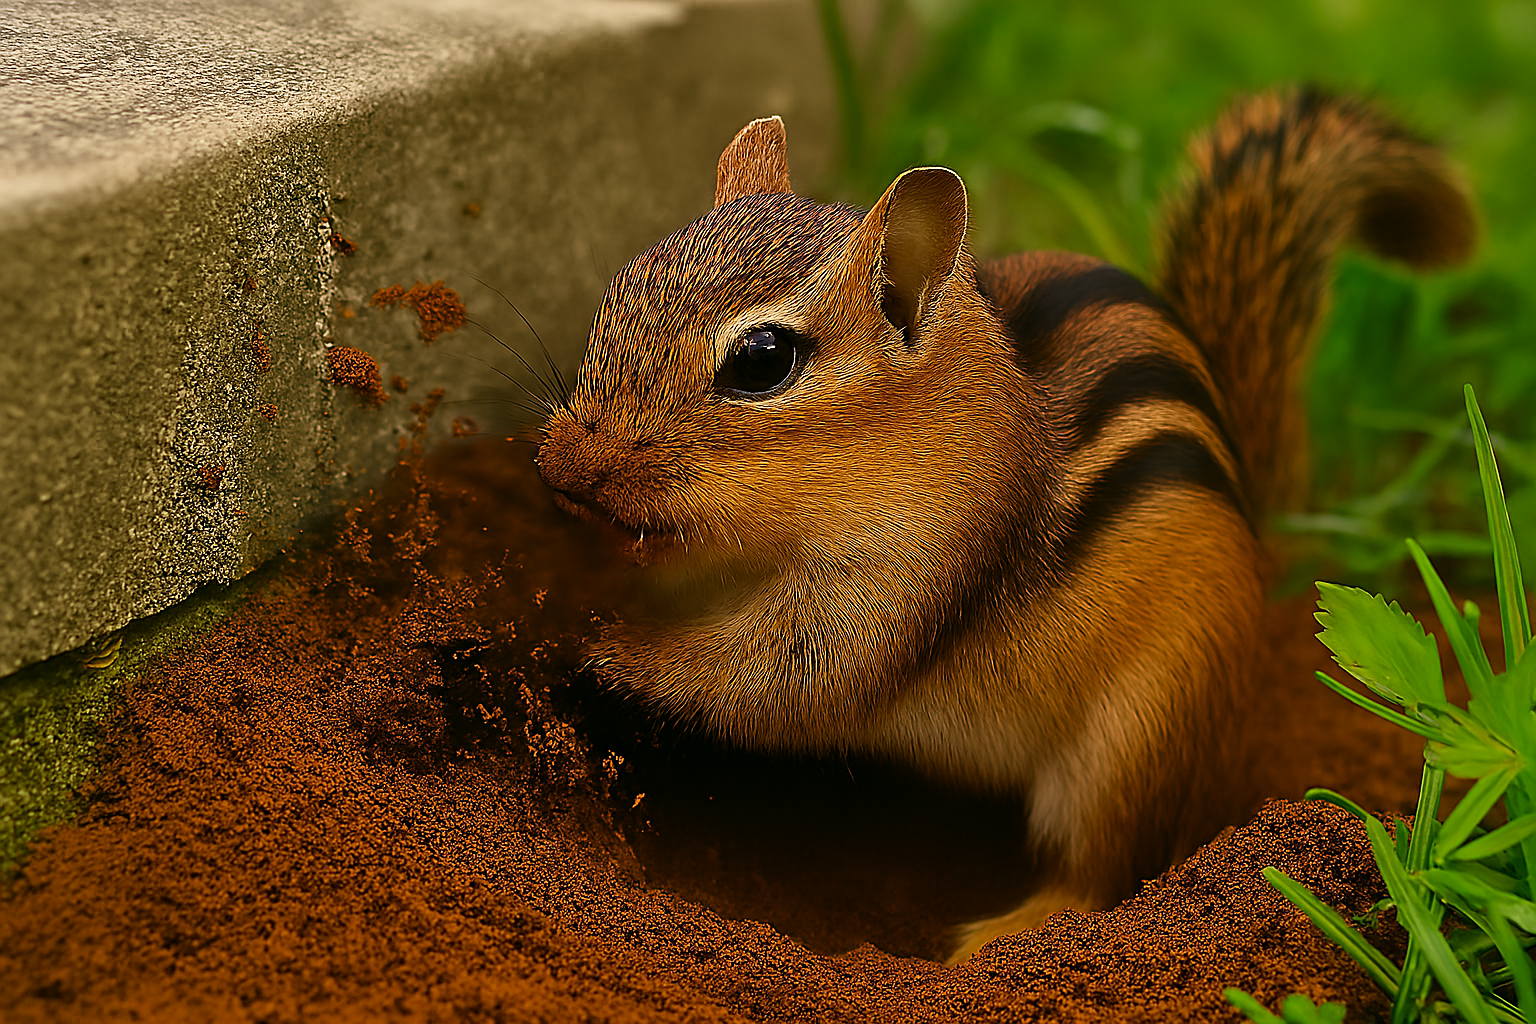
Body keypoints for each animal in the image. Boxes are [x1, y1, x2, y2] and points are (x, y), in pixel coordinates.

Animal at [535, 88, 1476, 962]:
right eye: (622, 283)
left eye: (762, 360)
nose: (560, 467)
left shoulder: (898, 583)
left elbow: (781, 684)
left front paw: (610, 649)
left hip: (1136, 737)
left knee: (1100, 874)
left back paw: (1006, 933)